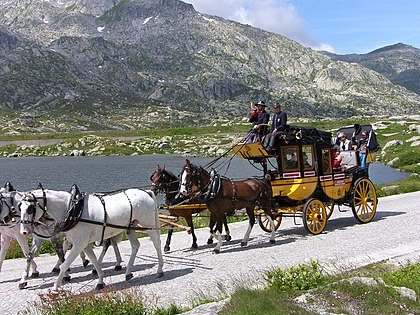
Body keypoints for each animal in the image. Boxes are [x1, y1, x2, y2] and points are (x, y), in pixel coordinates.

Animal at [19, 188, 164, 292]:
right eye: (19, 206)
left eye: (30, 208)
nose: (24, 231)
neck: (73, 210)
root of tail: (146, 192)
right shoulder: (83, 244)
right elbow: (94, 260)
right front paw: (100, 281)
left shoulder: (79, 244)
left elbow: (65, 264)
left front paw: (56, 286)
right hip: (131, 227)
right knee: (135, 245)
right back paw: (128, 273)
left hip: (149, 224)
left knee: (157, 243)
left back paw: (159, 270)